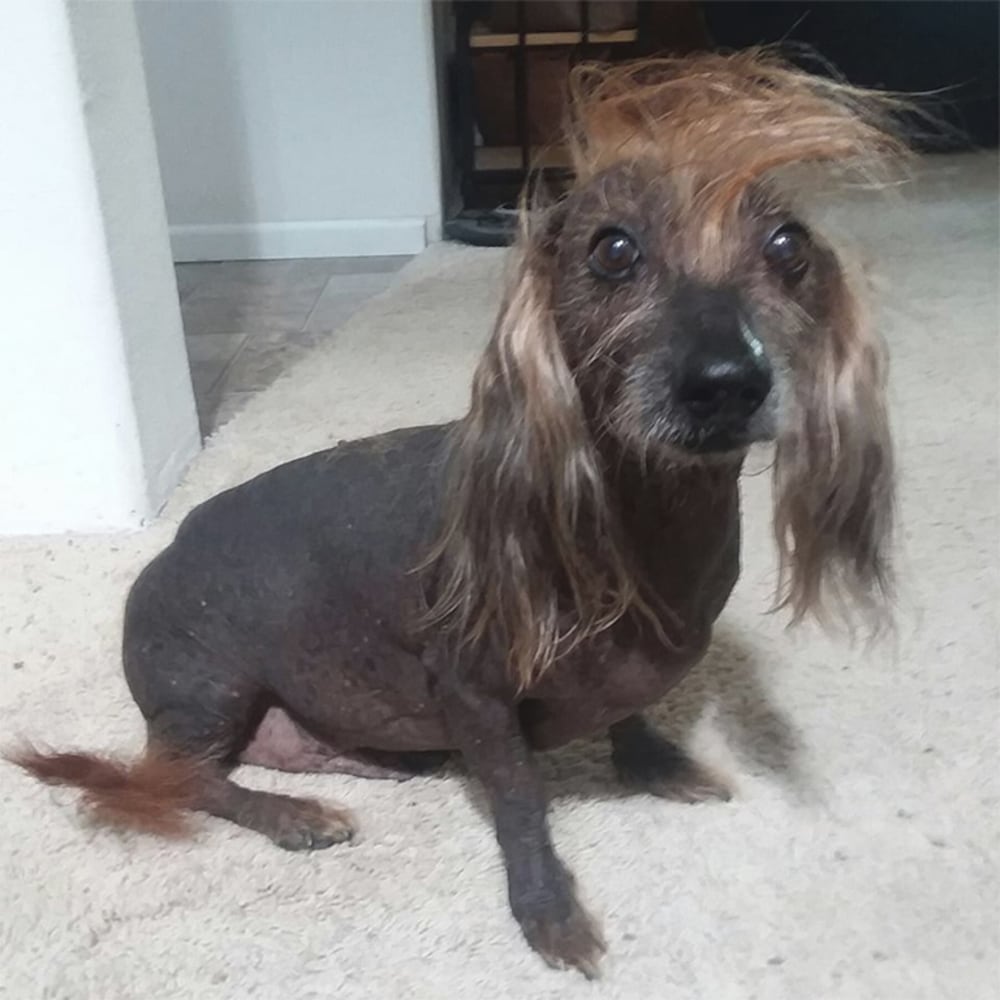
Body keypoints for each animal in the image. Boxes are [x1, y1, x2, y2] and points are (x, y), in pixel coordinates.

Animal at [9, 52, 900, 976]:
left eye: (788, 246)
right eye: (613, 249)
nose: (725, 380)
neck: (640, 527)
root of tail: (155, 563)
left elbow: (630, 710)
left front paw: (652, 762)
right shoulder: (475, 695)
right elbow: (520, 802)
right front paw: (547, 908)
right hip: (206, 688)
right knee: (182, 781)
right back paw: (291, 814)